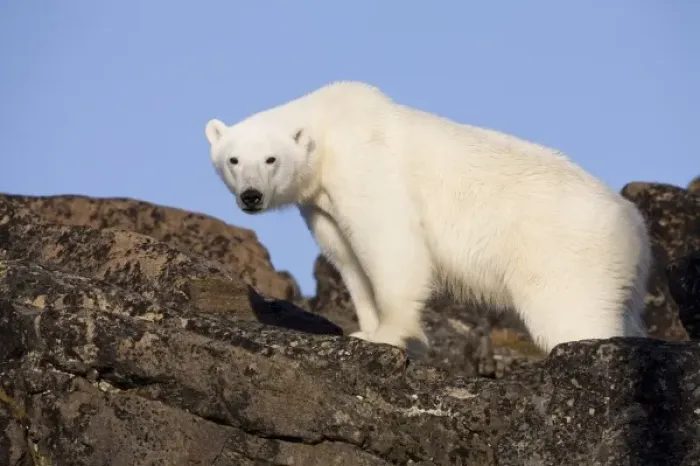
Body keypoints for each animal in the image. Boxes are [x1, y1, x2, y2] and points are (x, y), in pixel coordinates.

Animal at [204, 81, 652, 358]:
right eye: (233, 160)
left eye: (270, 159)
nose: (251, 195)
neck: (327, 129)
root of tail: (636, 224)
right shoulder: (320, 202)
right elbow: (348, 258)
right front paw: (366, 330)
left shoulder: (365, 165)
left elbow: (390, 243)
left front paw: (390, 335)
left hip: (564, 254)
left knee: (572, 315)